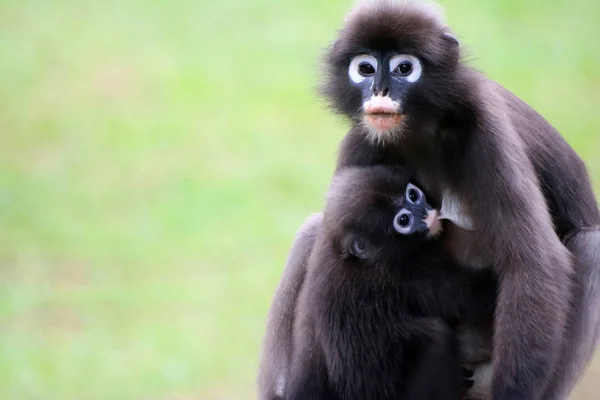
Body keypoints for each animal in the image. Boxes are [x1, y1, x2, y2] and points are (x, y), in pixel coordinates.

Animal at [288, 164, 494, 398]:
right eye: (403, 220)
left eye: (413, 195)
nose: (427, 214)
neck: (367, 260)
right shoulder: (409, 272)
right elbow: (466, 296)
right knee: (437, 337)